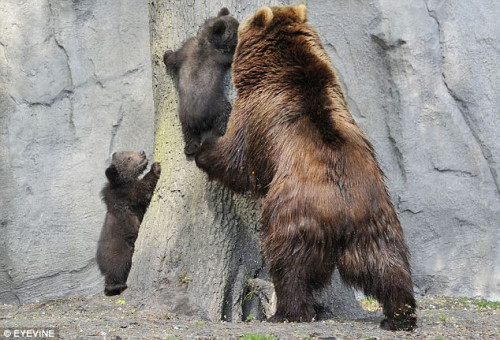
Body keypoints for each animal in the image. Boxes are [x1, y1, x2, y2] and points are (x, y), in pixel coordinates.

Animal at [195, 4, 418, 330]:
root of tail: (342, 207)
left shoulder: (256, 112)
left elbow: (237, 162)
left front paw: (201, 148)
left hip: (294, 214)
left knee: (290, 266)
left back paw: (288, 312)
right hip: (375, 220)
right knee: (386, 263)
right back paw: (400, 315)